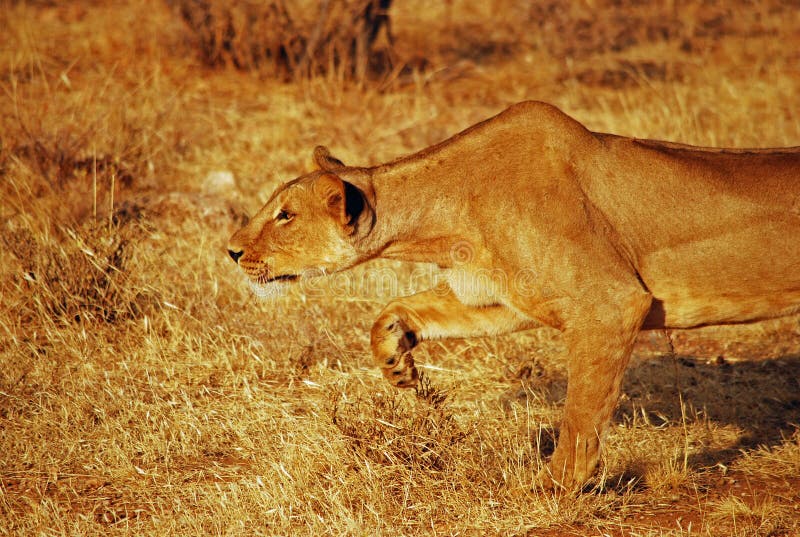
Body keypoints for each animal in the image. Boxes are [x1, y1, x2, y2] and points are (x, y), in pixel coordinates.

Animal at [227, 101, 800, 489]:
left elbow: (582, 409)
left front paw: (554, 488)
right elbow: (399, 310)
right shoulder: (496, 298)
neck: (444, 219)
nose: (231, 251)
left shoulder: (610, 302)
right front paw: (398, 365)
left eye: (284, 215)